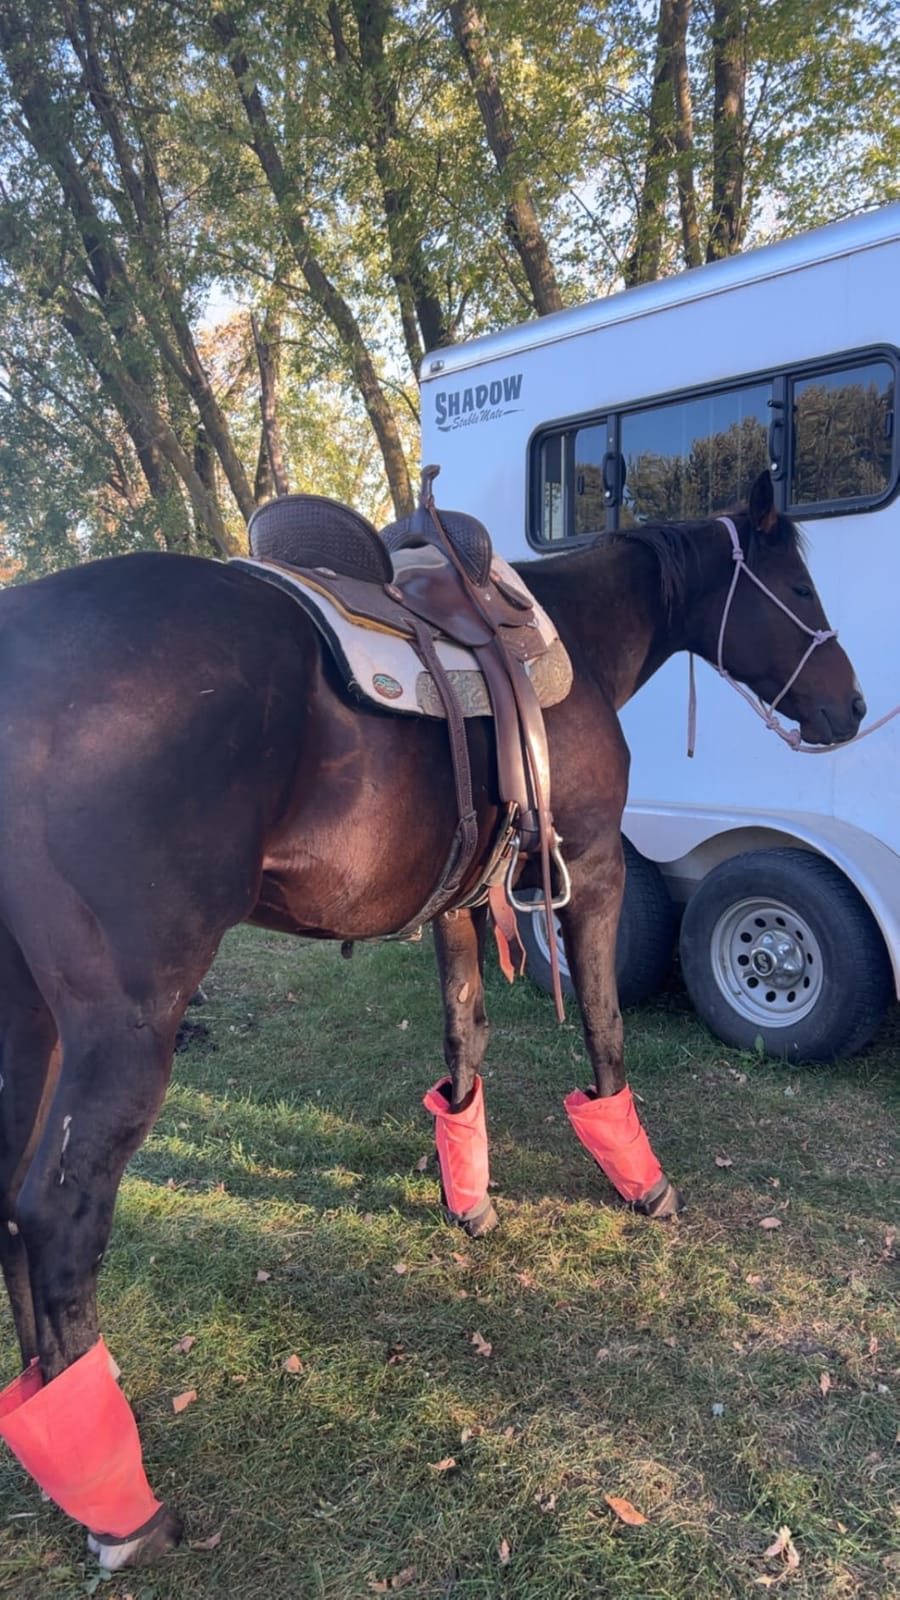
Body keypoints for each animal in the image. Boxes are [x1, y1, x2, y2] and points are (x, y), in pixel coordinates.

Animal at [0, 470, 863, 1567]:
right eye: (795, 582)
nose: (853, 704)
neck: (575, 634)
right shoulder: (593, 868)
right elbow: (602, 1021)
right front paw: (640, 1180)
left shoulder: (460, 896)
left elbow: (464, 1038)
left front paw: (469, 1197)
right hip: (124, 1023)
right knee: (57, 1218)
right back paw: (121, 1510)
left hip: (26, 1015)